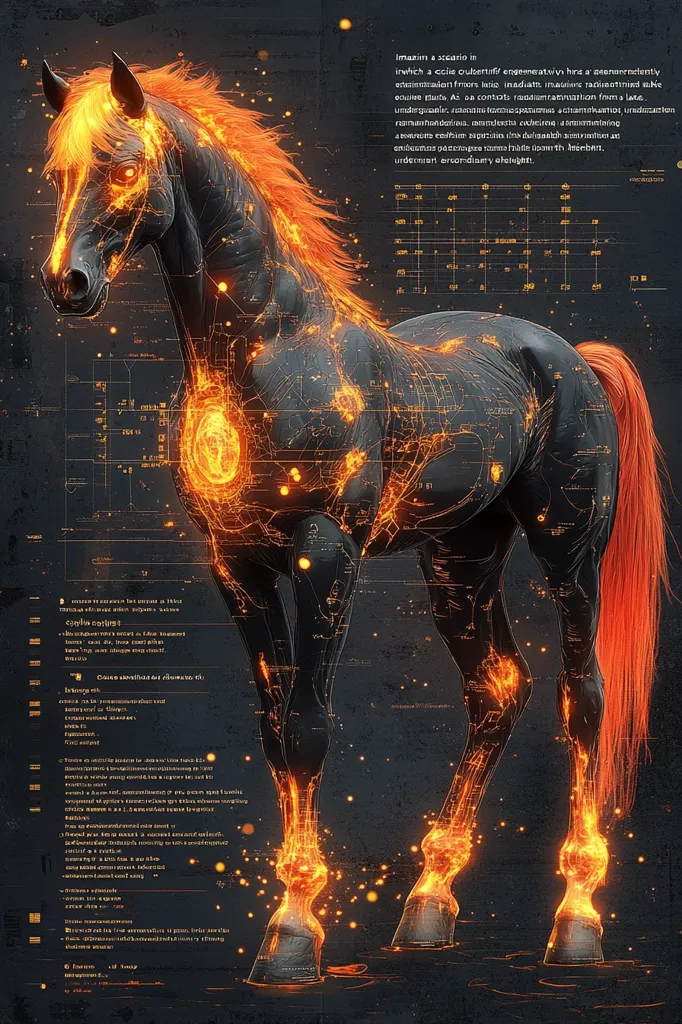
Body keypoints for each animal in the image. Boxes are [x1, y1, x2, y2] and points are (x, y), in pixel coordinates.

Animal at [40, 55, 668, 986]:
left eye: (122, 164)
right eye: (57, 173)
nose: (68, 285)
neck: (274, 350)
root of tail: (569, 358)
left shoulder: (325, 553)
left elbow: (308, 730)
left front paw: (293, 934)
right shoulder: (237, 562)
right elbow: (274, 734)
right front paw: (293, 918)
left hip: (570, 552)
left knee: (581, 697)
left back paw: (576, 921)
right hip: (460, 561)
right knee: (497, 690)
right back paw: (427, 906)